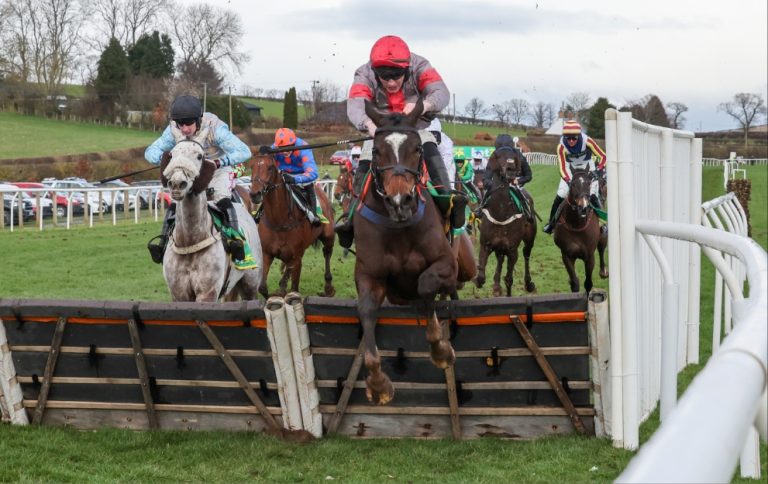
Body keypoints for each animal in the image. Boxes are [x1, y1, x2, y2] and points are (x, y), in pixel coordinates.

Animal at [160, 123, 262, 300]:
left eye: (200, 156)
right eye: (172, 154)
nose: (177, 183)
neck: (189, 241)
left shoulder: (208, 293)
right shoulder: (179, 294)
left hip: (250, 283)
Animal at [249, 156, 336, 298]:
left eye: (270, 167)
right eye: (252, 166)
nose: (254, 194)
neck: (279, 221)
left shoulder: (296, 257)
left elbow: (293, 287)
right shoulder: (267, 254)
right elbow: (262, 288)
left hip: (328, 236)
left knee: (327, 253)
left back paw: (328, 287)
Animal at [354, 100, 474, 406]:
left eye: (417, 149)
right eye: (376, 150)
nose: (400, 202)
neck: (399, 227)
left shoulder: (446, 264)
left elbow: (425, 284)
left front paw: (441, 349)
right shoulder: (370, 276)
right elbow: (367, 312)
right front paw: (379, 383)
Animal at [476, 146, 536, 296]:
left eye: (514, 156)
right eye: (499, 156)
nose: (511, 170)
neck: (501, 213)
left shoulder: (512, 249)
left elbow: (509, 279)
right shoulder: (486, 244)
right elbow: (480, 278)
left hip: (529, 240)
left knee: (526, 254)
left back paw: (528, 283)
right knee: (500, 258)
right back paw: (497, 285)